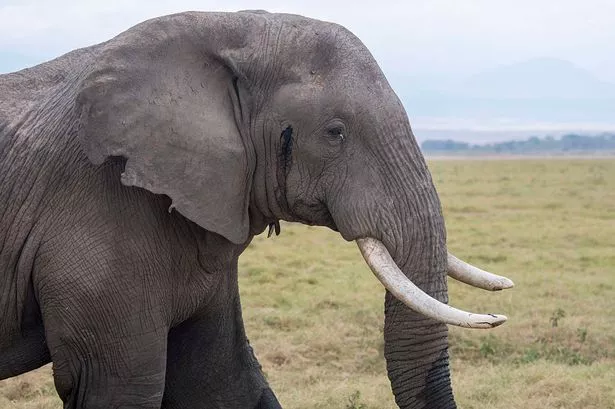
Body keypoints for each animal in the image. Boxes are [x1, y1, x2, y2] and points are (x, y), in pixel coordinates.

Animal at [0, 9, 512, 408]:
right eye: (335, 132)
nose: (498, 316)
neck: (226, 29)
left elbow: (220, 379)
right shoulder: (99, 207)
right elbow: (116, 385)